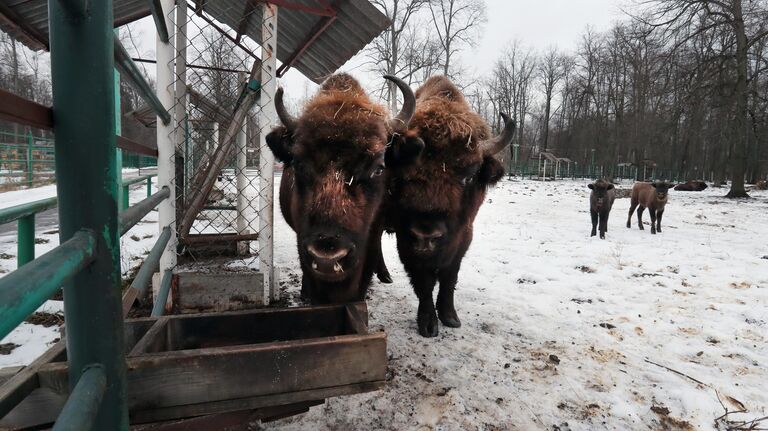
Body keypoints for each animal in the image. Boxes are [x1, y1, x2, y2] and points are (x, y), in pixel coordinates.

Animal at [384, 76, 516, 340]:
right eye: (403, 174)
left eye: (469, 176)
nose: (427, 235)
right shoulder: (407, 242)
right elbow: (424, 282)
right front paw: (428, 325)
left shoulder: (463, 237)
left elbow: (449, 276)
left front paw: (451, 318)